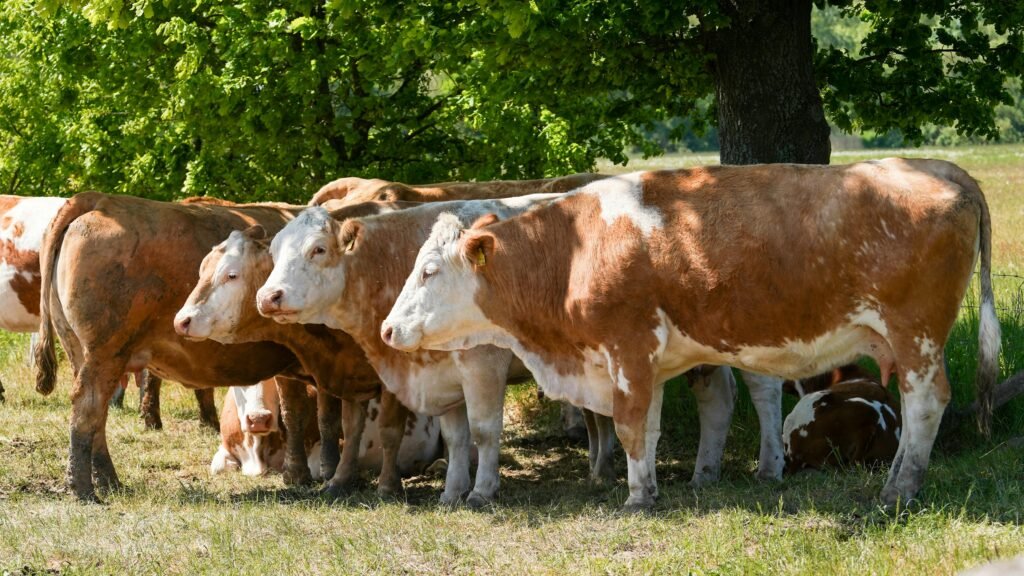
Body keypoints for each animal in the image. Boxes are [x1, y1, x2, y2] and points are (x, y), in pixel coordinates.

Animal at [32, 192, 324, 501]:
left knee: (97, 415)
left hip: (81, 350)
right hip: (105, 353)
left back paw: (108, 481)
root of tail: (101, 199)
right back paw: (83, 488)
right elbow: (305, 412)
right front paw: (304, 475)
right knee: (88, 408)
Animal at [174, 213, 443, 496]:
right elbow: (332, 422)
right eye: (201, 272)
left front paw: (385, 486)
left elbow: (384, 429)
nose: (183, 320)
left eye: (231, 275)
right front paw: (324, 478)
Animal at [256, 196, 785, 505]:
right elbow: (456, 436)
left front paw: (482, 490)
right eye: (275, 252)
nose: (268, 297)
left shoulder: (482, 362)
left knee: (763, 393)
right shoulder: (444, 375)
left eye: (318, 250)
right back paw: (703, 473)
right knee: (716, 400)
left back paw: (769, 466)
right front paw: (451, 492)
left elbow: (485, 431)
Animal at [380, 159, 1000, 510]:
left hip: (916, 334)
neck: (574, 250)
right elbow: (649, 429)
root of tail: (942, 169)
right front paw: (649, 488)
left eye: (428, 271)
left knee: (926, 403)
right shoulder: (646, 363)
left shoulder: (627, 350)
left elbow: (631, 428)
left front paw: (636, 498)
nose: (388, 327)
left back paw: (900, 489)